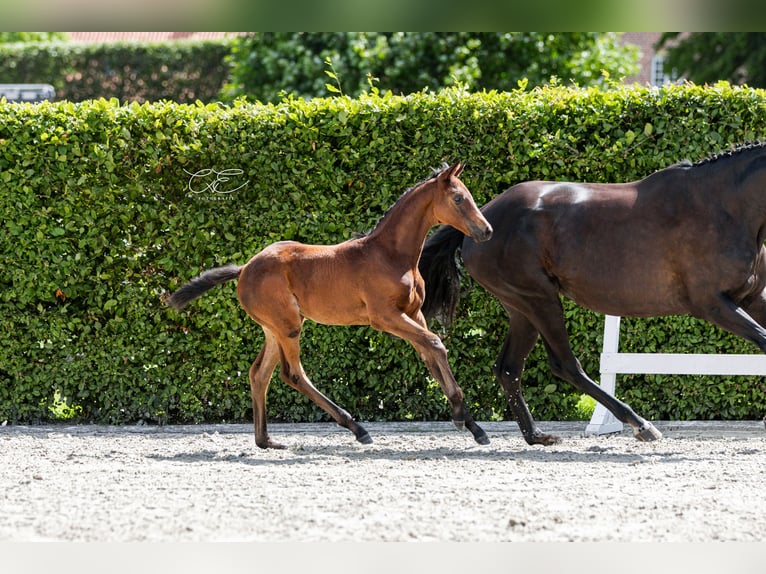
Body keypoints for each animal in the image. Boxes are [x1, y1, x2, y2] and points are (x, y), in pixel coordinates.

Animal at [165, 162, 496, 450]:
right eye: (458, 198)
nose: (487, 231)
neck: (390, 255)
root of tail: (244, 268)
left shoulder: (413, 314)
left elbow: (430, 355)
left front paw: (473, 426)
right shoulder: (385, 316)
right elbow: (436, 344)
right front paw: (461, 418)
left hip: (275, 328)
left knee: (259, 374)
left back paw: (266, 441)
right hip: (288, 326)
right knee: (292, 374)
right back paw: (357, 429)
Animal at [424, 142, 766, 448]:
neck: (722, 207)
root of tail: (480, 222)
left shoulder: (750, 298)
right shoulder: (711, 304)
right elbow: (764, 341)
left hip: (521, 308)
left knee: (508, 368)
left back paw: (536, 436)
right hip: (539, 299)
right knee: (564, 364)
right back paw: (640, 425)